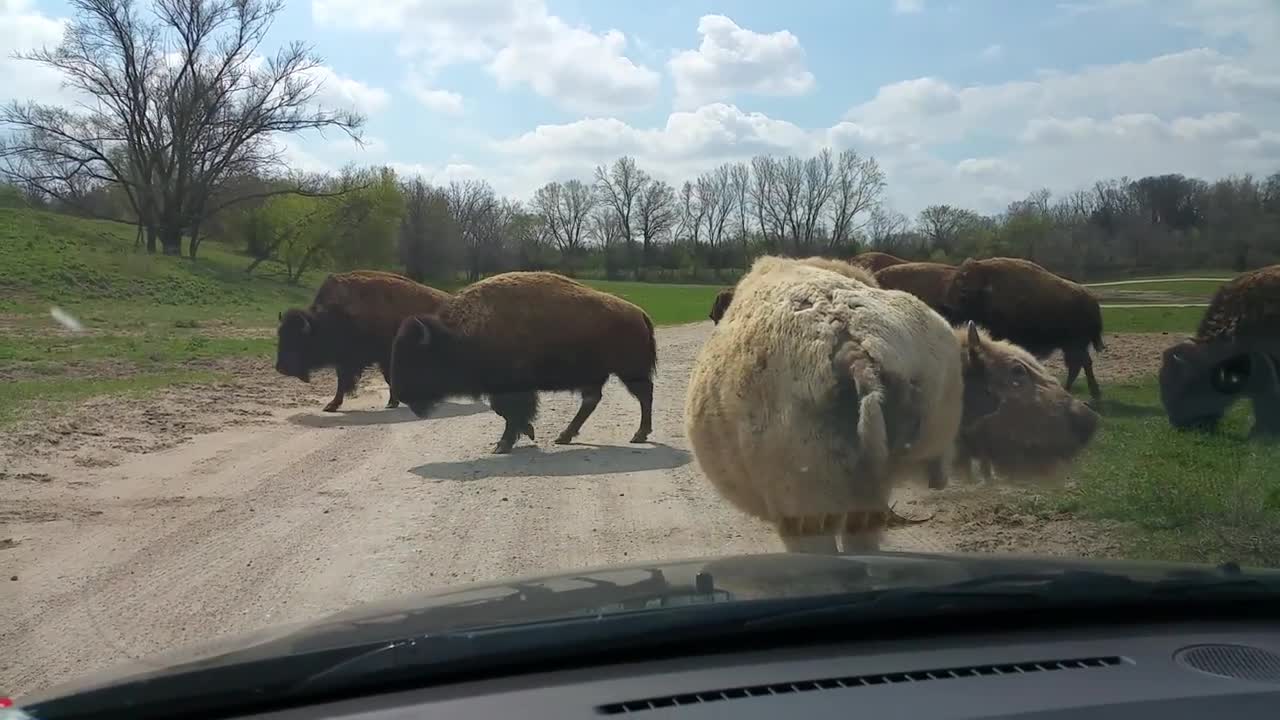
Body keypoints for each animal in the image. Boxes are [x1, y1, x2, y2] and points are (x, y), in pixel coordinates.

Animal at [275, 269, 450, 412]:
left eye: (298, 340)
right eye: (281, 336)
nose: (281, 368)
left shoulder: (381, 357)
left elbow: (385, 378)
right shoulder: (347, 360)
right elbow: (343, 382)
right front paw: (332, 405)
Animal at [389, 271, 655, 450]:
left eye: (416, 359)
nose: (403, 395)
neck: (458, 334)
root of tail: (639, 313)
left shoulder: (512, 388)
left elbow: (509, 411)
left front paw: (504, 444)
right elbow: (504, 411)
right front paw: (525, 432)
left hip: (630, 371)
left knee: (644, 395)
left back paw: (639, 435)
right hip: (597, 375)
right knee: (592, 400)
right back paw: (564, 436)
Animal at [947, 254, 1105, 399]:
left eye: (963, 293)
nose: (949, 310)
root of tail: (1091, 300)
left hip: (1074, 345)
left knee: (1079, 364)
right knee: (1081, 364)